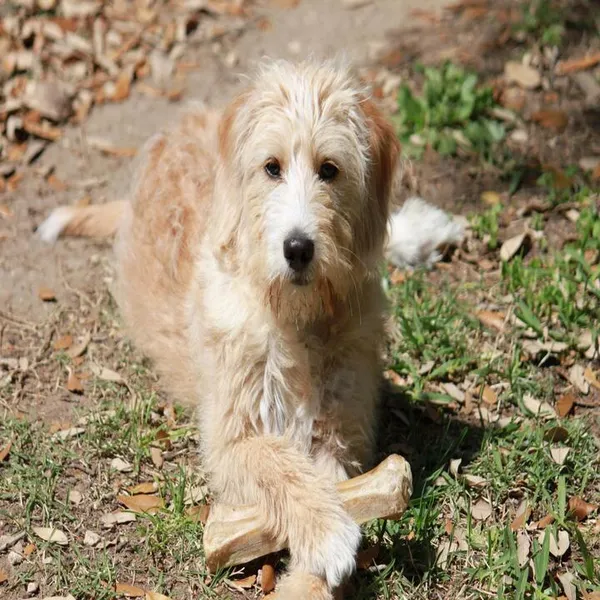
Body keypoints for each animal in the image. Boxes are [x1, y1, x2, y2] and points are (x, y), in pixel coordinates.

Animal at [38, 58, 464, 596]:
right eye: (271, 168)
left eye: (330, 169)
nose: (298, 248)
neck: (294, 314)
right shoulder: (231, 438)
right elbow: (279, 467)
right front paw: (325, 533)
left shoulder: (342, 431)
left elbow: (330, 484)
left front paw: (308, 578)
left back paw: (423, 232)